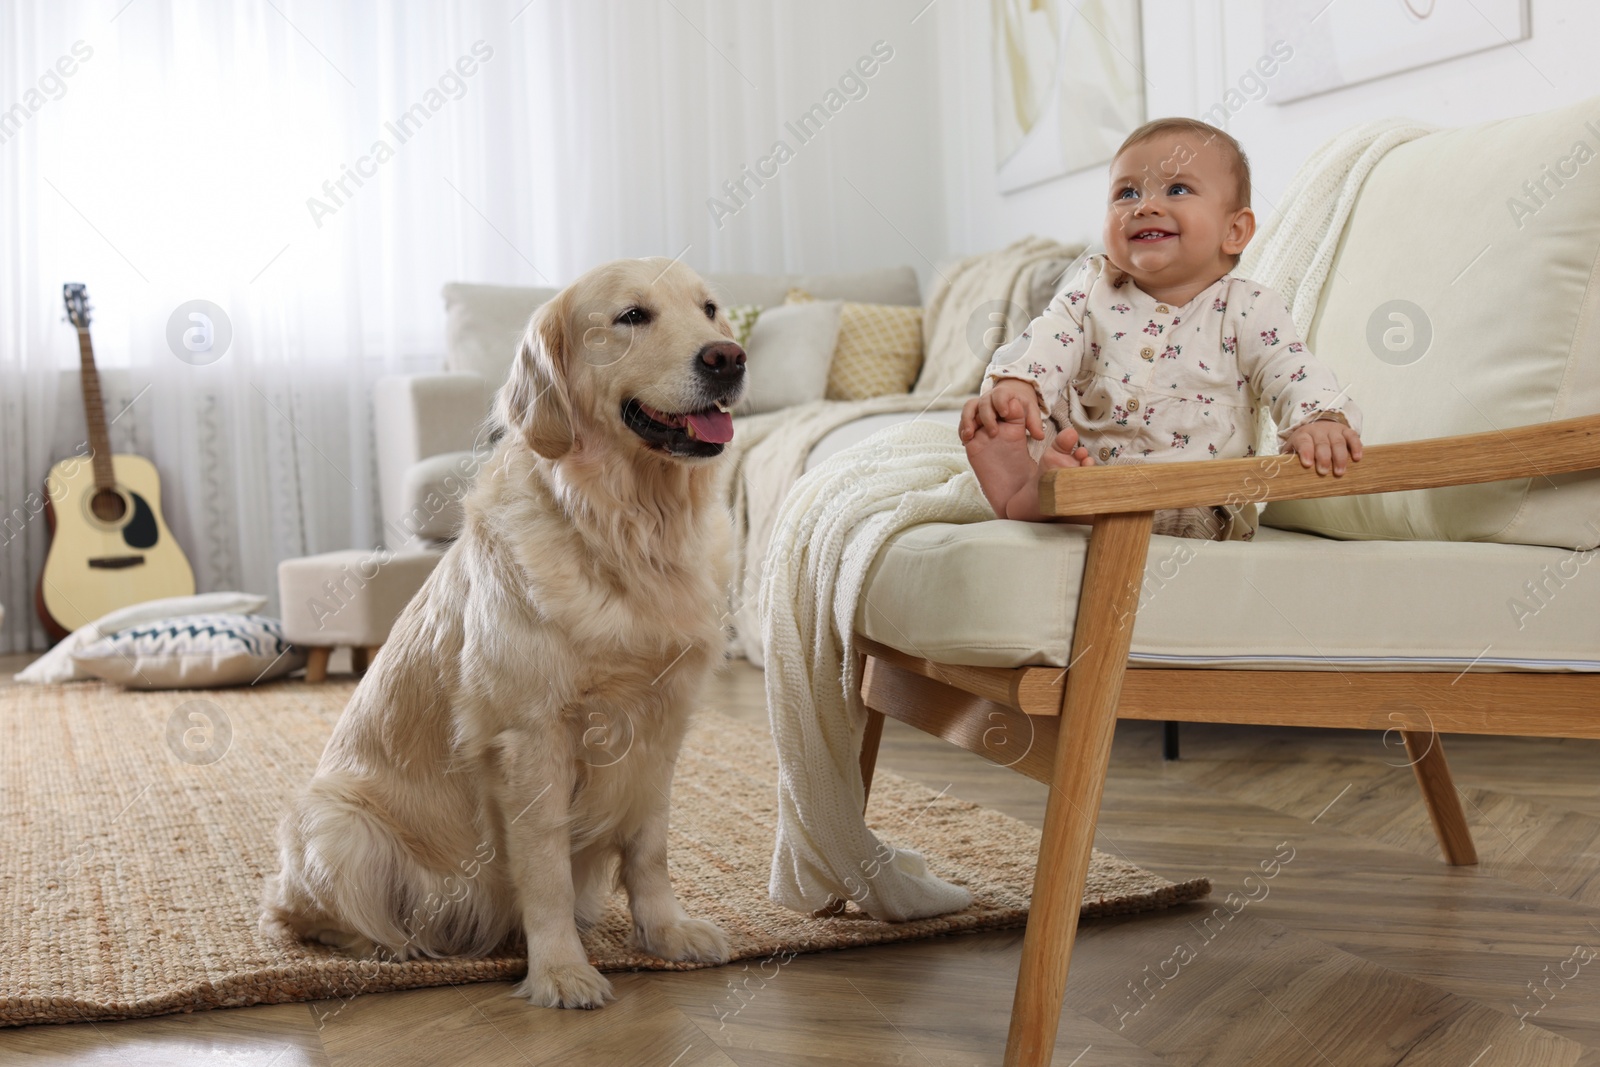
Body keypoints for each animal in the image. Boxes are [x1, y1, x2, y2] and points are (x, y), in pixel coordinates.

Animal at [267, 259, 748, 1011]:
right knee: (300, 913)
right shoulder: (531, 735)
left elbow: (649, 847)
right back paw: (390, 944)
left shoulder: (662, 725)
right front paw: (561, 969)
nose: (728, 358)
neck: (626, 528)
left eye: (710, 310)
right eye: (631, 316)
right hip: (336, 821)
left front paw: (666, 933)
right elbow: (546, 867)